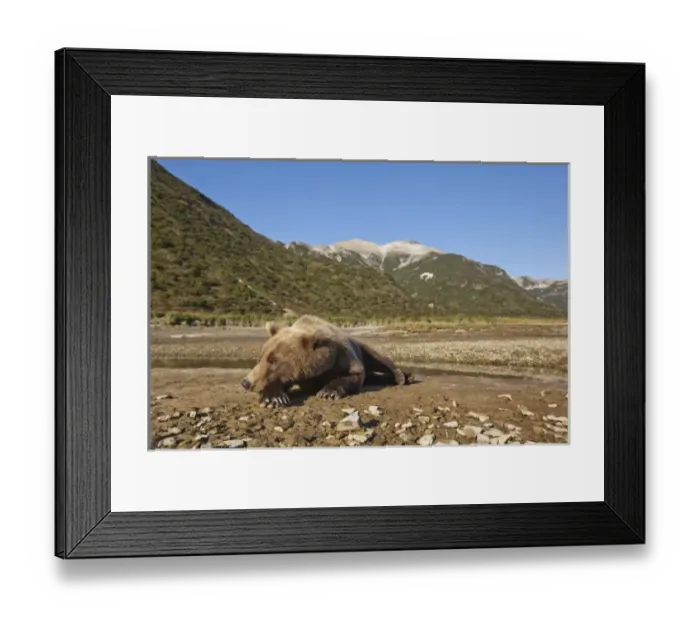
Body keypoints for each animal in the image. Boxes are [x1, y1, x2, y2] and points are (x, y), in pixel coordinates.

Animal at [240, 314, 411, 407]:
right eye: (261, 357)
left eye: (274, 360)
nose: (246, 382)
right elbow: (276, 382)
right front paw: (273, 398)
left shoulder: (343, 357)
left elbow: (352, 374)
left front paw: (327, 392)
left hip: (361, 347)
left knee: (379, 359)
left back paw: (403, 377)